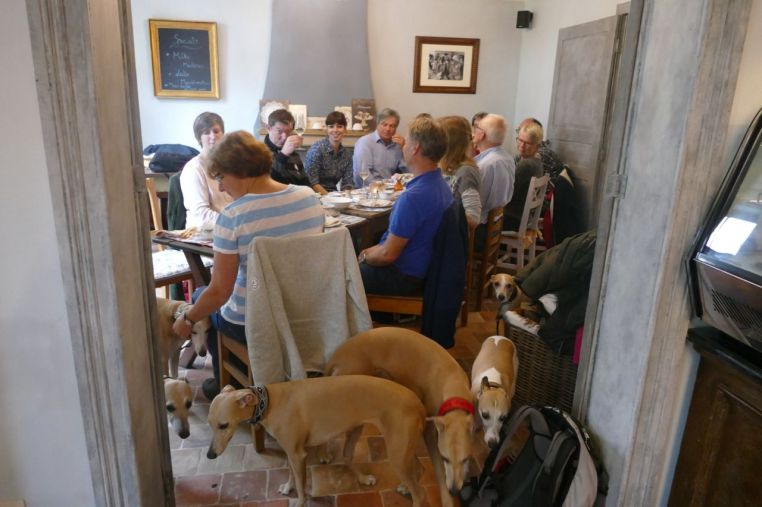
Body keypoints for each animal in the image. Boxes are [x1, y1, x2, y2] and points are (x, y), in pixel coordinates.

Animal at [206, 376, 429, 507]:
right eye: (210, 424)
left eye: (223, 425)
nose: (210, 455)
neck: (269, 402)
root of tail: (417, 403)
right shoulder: (290, 451)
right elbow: (291, 474)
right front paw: (287, 488)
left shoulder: (298, 454)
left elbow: (301, 484)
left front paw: (299, 501)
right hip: (390, 446)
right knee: (418, 468)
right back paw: (378, 482)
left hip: (397, 453)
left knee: (420, 494)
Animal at [326, 327, 474, 507]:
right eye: (445, 458)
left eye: (466, 459)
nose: (454, 491)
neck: (452, 382)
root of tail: (338, 354)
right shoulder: (430, 433)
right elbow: (438, 470)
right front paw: (446, 500)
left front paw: (407, 486)